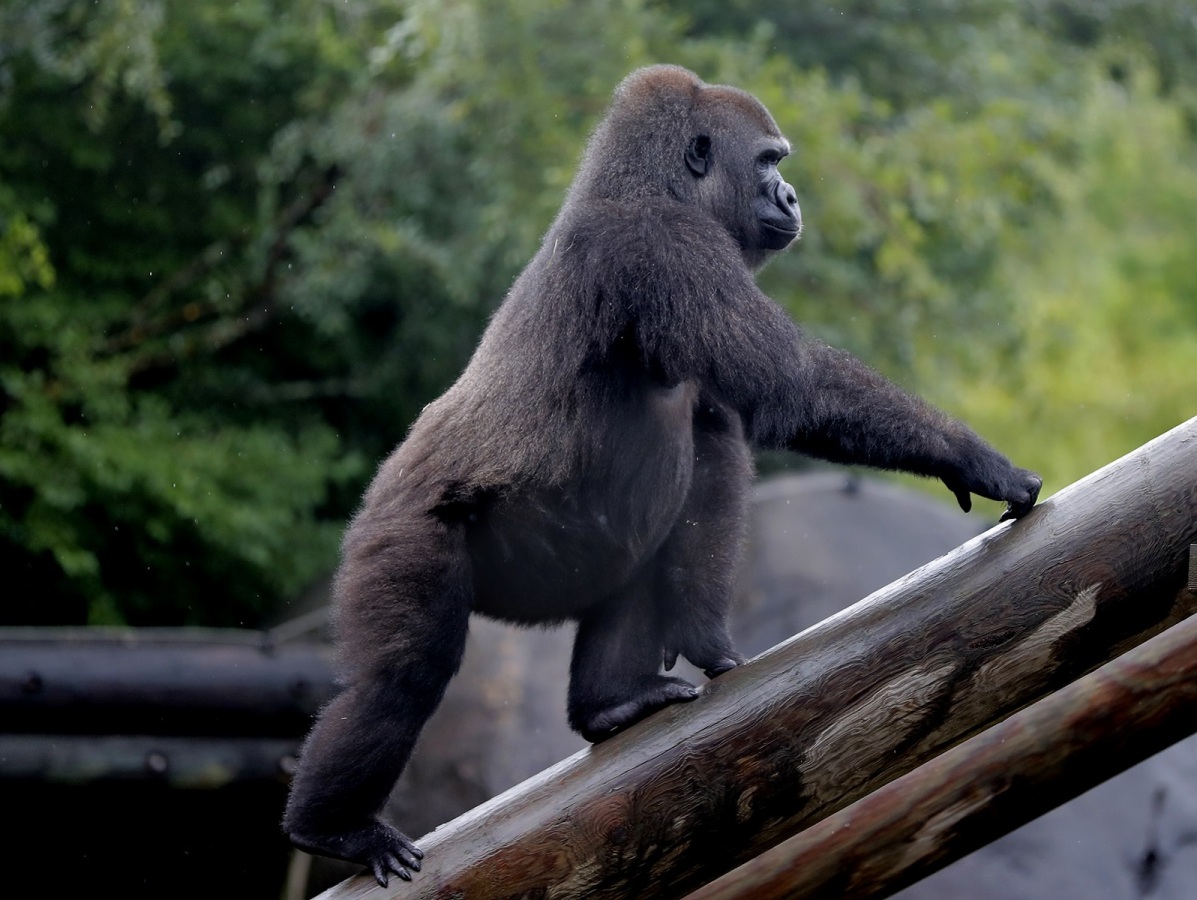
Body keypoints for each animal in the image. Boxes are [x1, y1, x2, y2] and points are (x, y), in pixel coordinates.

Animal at [283, 65, 1042, 886]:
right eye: (768, 162)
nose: (790, 197)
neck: (650, 186)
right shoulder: (667, 243)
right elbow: (792, 388)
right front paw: (968, 455)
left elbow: (726, 432)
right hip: (400, 532)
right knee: (403, 676)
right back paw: (333, 827)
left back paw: (611, 704)